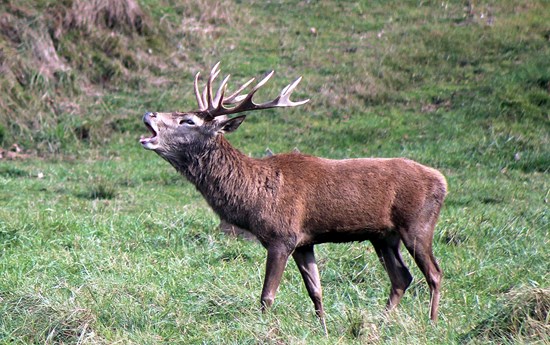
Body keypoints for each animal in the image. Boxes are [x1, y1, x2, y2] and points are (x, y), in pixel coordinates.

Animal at [139, 62, 448, 334]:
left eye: (188, 120)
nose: (149, 114)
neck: (253, 195)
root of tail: (442, 181)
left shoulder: (281, 236)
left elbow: (267, 295)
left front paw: (263, 328)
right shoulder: (303, 242)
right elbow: (316, 291)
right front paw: (323, 329)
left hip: (417, 225)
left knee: (434, 273)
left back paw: (432, 324)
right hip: (382, 236)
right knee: (401, 277)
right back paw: (381, 323)